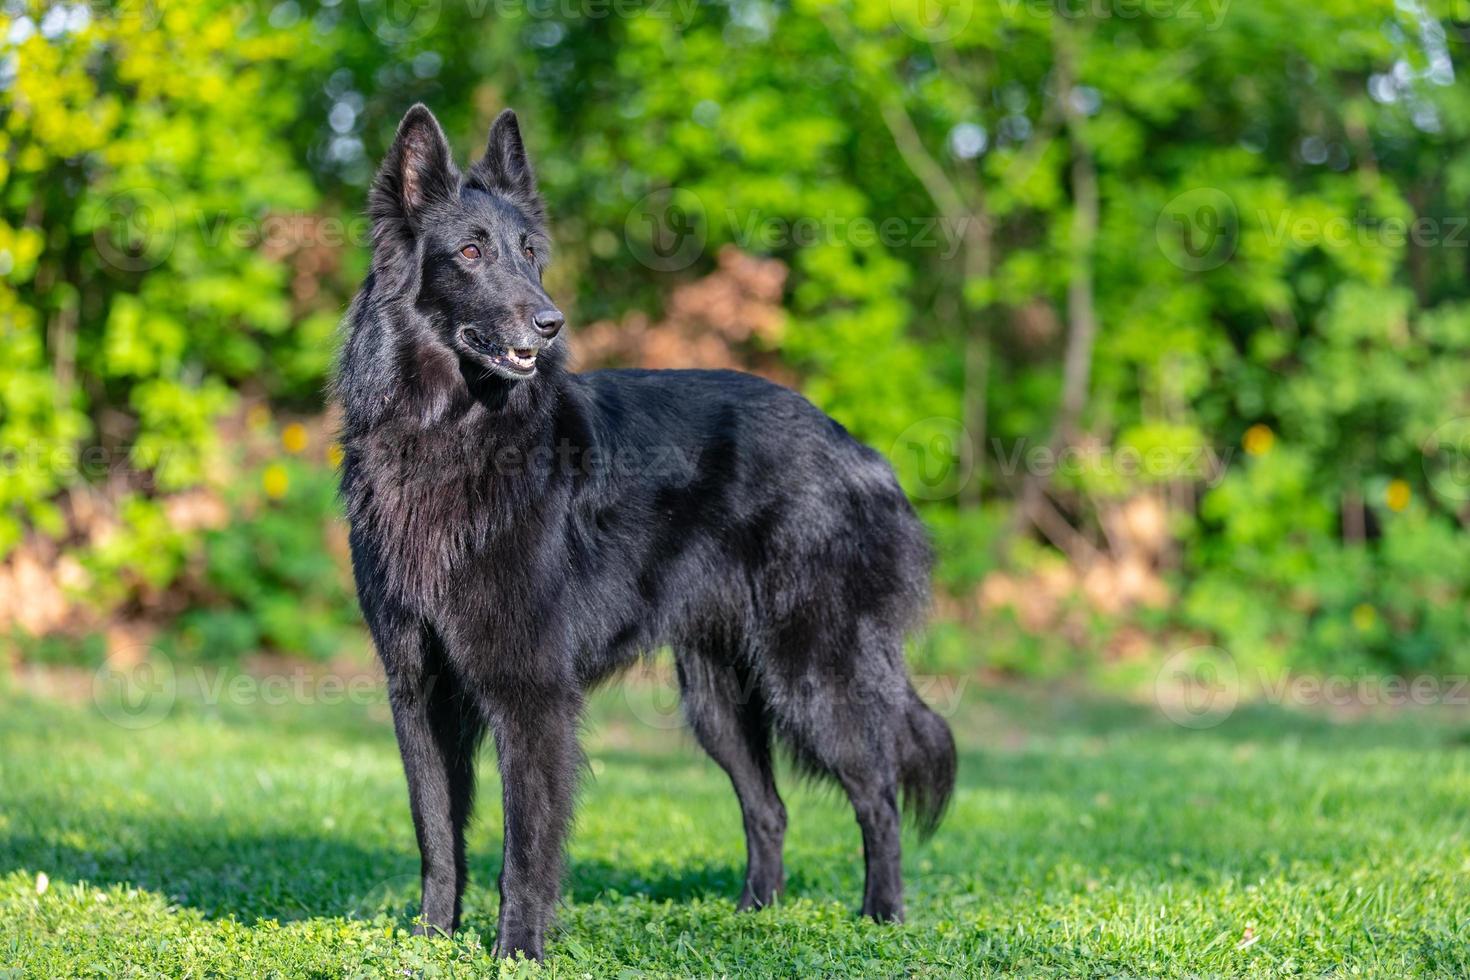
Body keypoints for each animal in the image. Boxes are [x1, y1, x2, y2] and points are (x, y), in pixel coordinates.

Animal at [335, 103, 958, 963]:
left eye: (531, 255)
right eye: (470, 252)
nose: (550, 323)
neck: (448, 434)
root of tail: (859, 449)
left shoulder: (531, 694)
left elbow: (524, 848)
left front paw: (517, 951)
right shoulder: (419, 690)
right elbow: (437, 835)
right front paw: (431, 943)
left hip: (813, 675)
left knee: (880, 793)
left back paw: (882, 918)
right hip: (716, 698)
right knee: (770, 808)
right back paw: (755, 917)